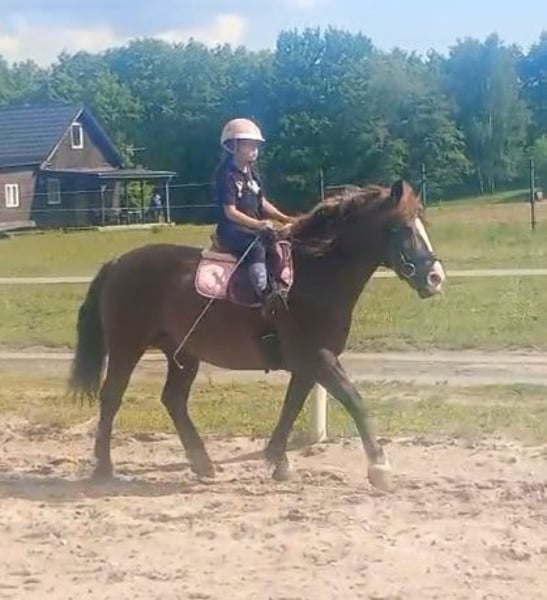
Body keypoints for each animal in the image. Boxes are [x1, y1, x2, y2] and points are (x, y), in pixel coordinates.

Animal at [69, 179, 446, 492]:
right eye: (401, 228)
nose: (435, 278)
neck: (315, 274)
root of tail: (117, 263)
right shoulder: (320, 358)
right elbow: (355, 401)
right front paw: (380, 467)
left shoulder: (308, 364)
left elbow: (292, 406)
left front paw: (279, 460)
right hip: (126, 347)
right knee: (112, 397)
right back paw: (104, 467)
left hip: (182, 354)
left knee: (173, 400)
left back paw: (202, 463)